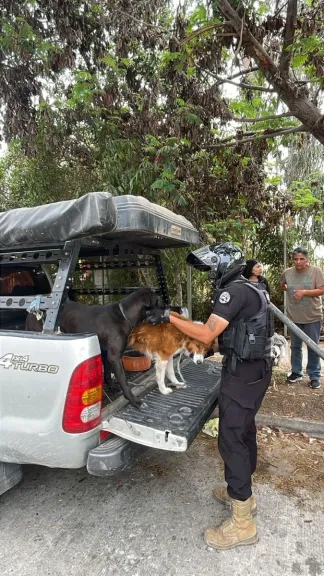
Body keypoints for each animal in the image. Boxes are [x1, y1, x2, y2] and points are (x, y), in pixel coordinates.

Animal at [25, 286, 158, 404]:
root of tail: (30, 313)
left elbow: (107, 373)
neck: (124, 314)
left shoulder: (106, 352)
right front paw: (134, 401)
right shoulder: (115, 357)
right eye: (157, 301)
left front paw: (111, 386)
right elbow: (124, 382)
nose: (166, 308)